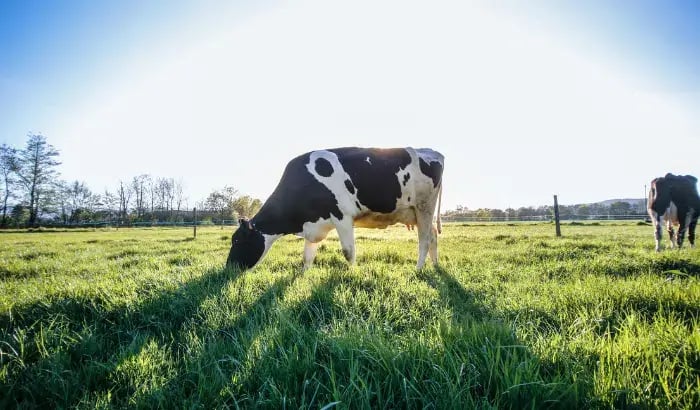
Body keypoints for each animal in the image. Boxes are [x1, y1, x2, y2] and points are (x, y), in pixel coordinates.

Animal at [226, 147, 444, 271]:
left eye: (236, 240)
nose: (228, 268)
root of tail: (431, 151)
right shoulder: (313, 224)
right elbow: (306, 257)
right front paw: (303, 276)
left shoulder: (343, 217)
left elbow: (348, 252)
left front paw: (353, 273)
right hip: (417, 212)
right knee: (433, 235)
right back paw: (435, 265)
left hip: (424, 207)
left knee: (424, 240)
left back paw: (418, 269)